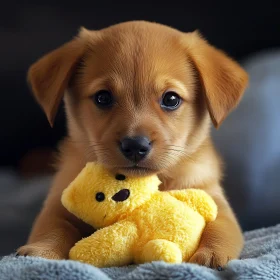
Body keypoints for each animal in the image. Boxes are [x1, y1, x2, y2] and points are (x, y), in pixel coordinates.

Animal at [17, 20, 248, 268]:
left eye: (171, 99)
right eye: (103, 98)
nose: (135, 146)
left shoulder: (212, 199)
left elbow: (219, 229)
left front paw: (211, 255)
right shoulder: (58, 206)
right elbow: (52, 229)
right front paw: (41, 252)